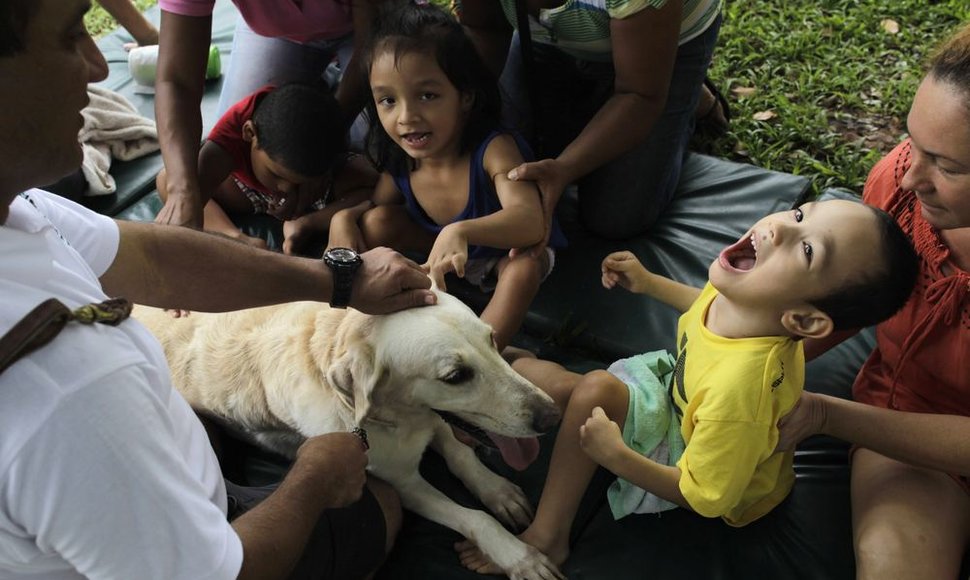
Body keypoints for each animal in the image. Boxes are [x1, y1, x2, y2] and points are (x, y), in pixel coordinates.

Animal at [133, 292, 564, 580]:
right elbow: (474, 519)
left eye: (491, 339)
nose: (553, 416)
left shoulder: (435, 420)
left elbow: (461, 456)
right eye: (456, 376)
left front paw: (499, 492)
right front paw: (518, 557)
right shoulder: (402, 484)